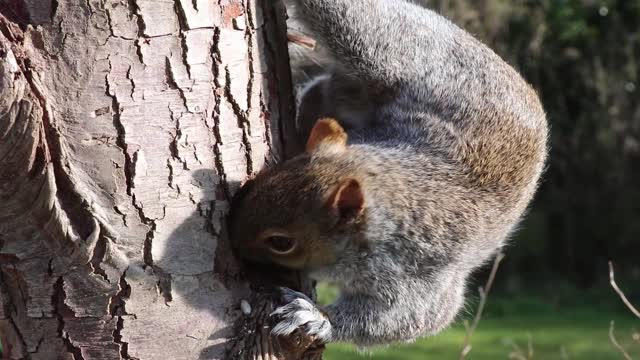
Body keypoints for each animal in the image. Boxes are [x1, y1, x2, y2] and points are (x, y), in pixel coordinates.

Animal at [228, 0, 548, 346]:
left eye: (281, 242)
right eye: (259, 183)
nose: (232, 243)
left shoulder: (417, 275)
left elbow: (408, 319)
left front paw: (316, 317)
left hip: (386, 54)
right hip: (381, 56)